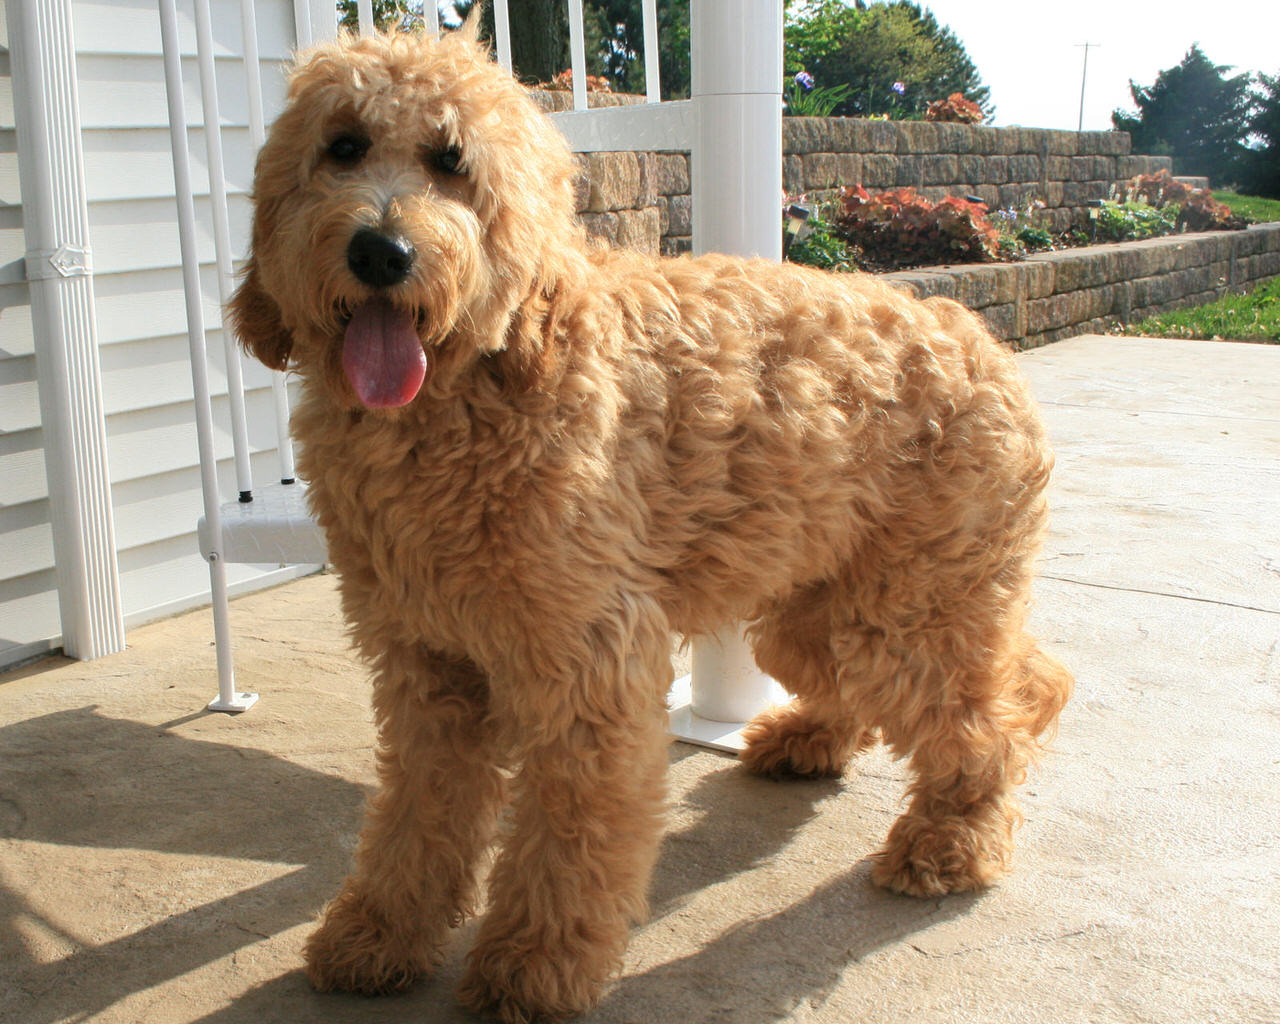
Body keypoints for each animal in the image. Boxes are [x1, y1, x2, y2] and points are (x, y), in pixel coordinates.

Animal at [230, 22, 1070, 1024]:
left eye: (451, 161)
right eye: (344, 145)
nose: (383, 253)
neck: (485, 381)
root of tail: (975, 334)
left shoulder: (588, 664)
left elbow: (569, 835)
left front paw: (531, 970)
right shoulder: (428, 664)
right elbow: (417, 815)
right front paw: (378, 937)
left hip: (905, 611)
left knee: (991, 722)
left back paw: (953, 842)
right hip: (823, 604)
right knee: (987, 682)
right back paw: (811, 739)